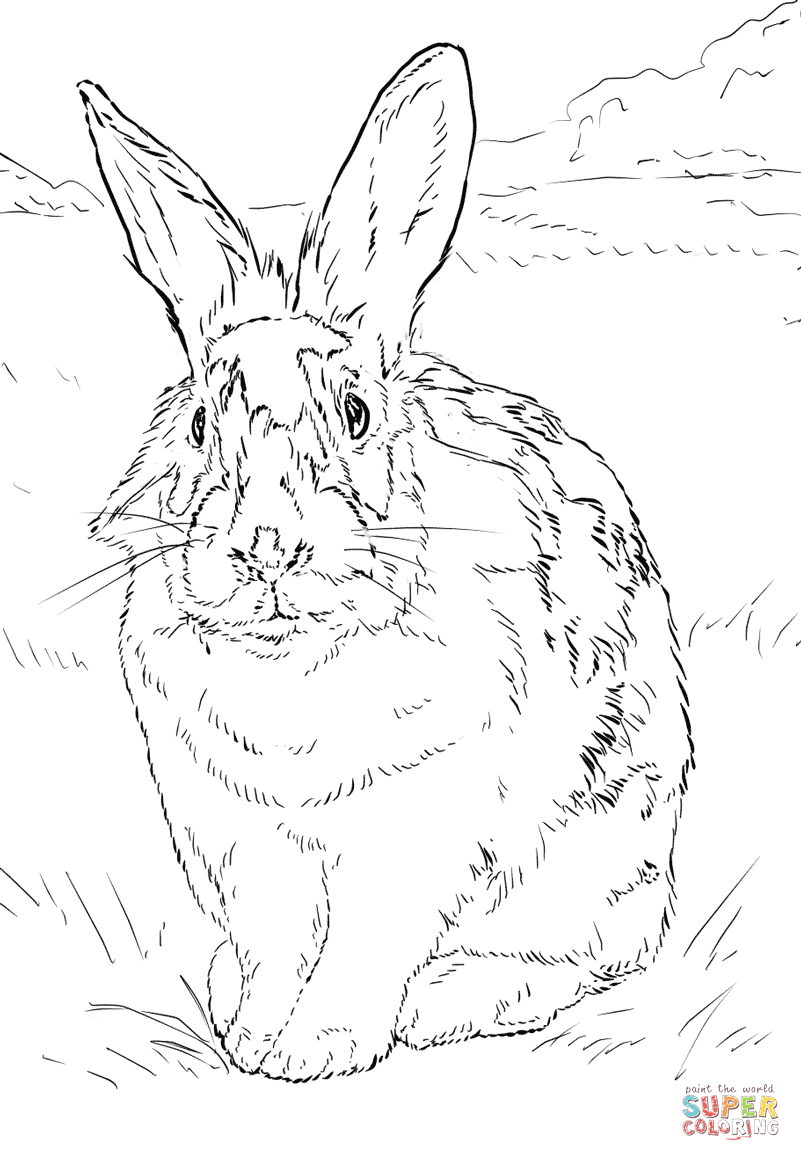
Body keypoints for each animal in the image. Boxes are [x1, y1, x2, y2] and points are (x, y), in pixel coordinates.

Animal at [79, 42, 692, 1081]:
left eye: (356, 412)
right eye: (200, 424)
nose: (266, 547)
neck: (291, 663)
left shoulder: (415, 827)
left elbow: (363, 945)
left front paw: (315, 1049)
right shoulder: (245, 839)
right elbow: (277, 943)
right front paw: (256, 1039)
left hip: (596, 858)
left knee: (581, 957)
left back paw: (449, 1002)